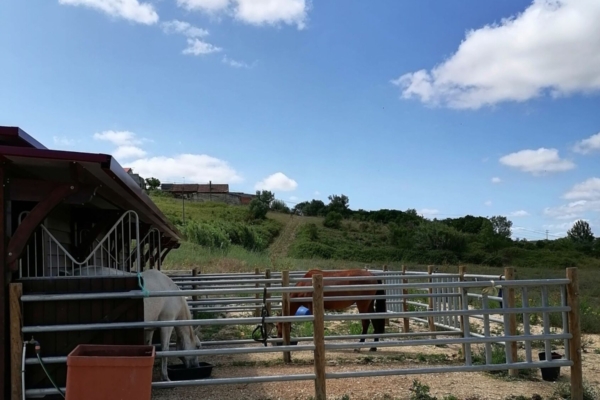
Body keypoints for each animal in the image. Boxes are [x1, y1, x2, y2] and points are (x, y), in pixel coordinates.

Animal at [72, 266, 202, 382]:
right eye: (198, 346)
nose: (196, 366)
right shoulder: (167, 324)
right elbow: (165, 350)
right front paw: (165, 377)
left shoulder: (150, 329)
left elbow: (149, 345)